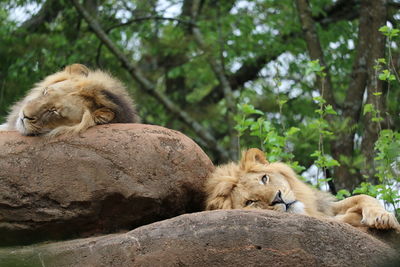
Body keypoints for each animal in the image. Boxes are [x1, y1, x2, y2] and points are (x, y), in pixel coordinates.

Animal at [206, 149, 400, 232]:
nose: (278, 198)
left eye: (264, 178)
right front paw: (352, 217)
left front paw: (382, 217)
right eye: (251, 202)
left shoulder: (325, 205)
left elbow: (364, 196)